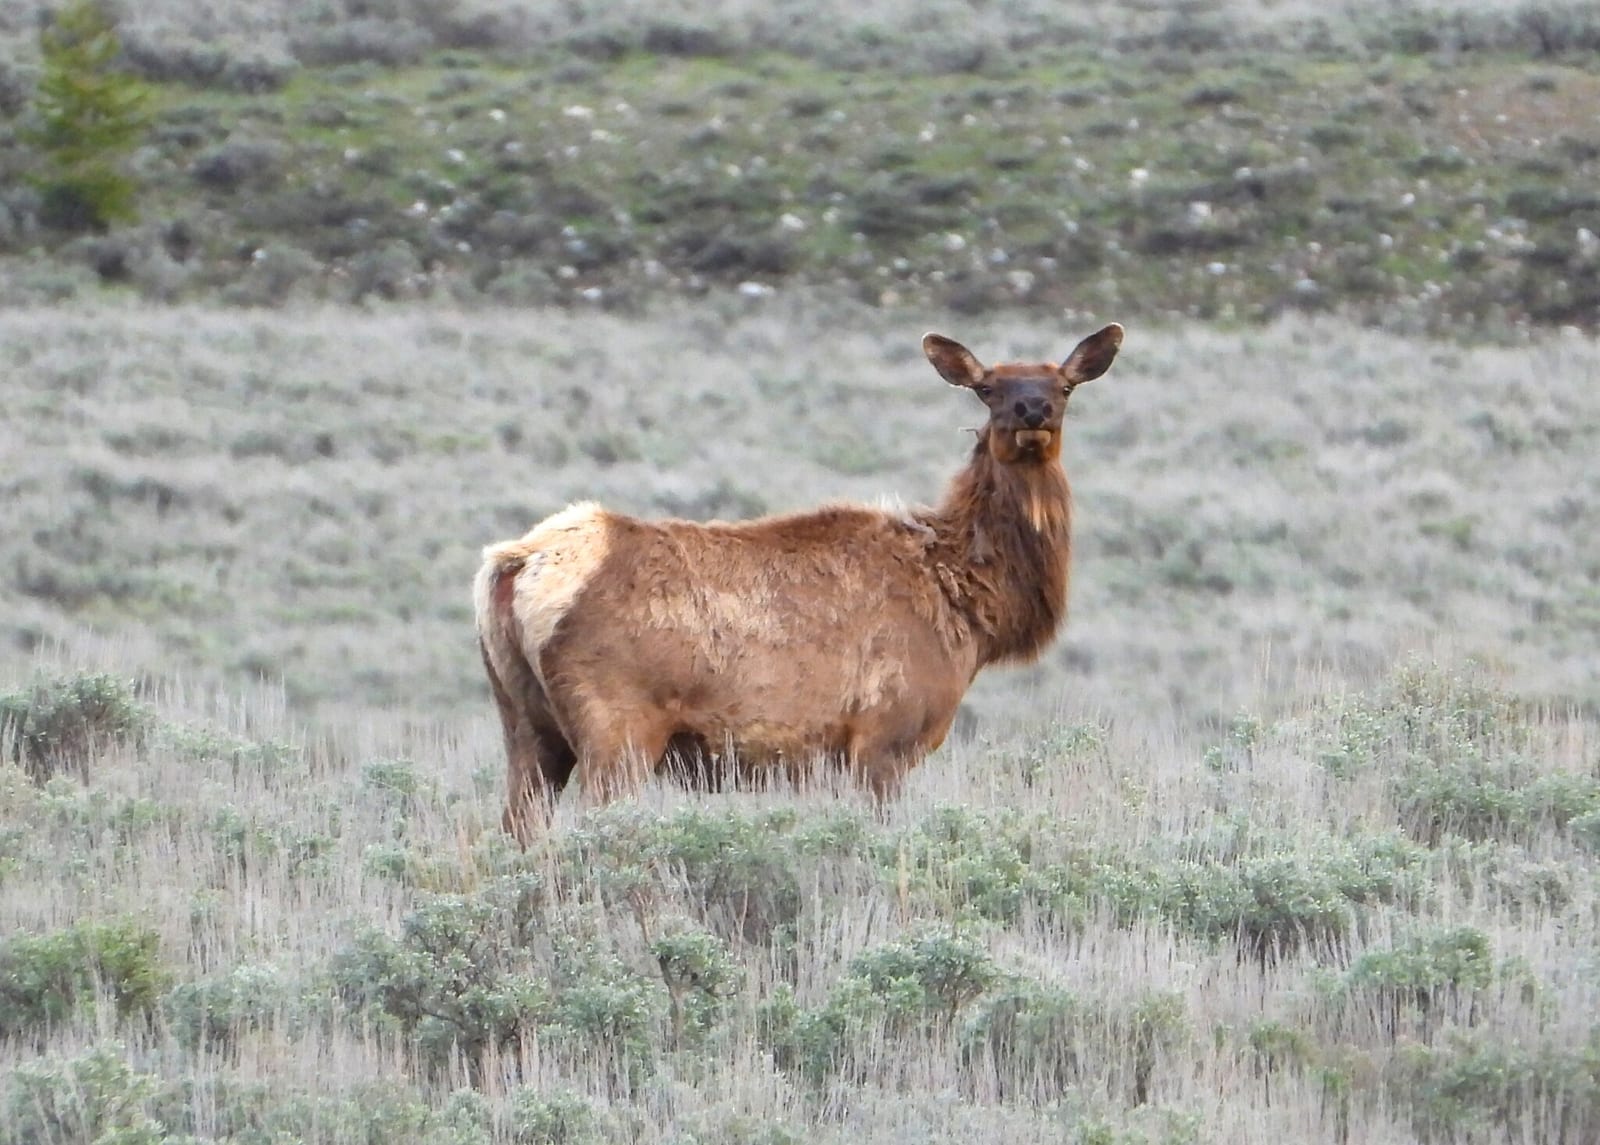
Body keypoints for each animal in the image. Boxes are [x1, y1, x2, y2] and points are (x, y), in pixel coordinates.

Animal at [474, 323, 1124, 846]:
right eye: (987, 389)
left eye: (1064, 386)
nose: (1032, 410)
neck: (969, 610)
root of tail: (512, 563)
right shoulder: (882, 737)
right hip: (616, 724)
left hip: (525, 722)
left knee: (516, 828)